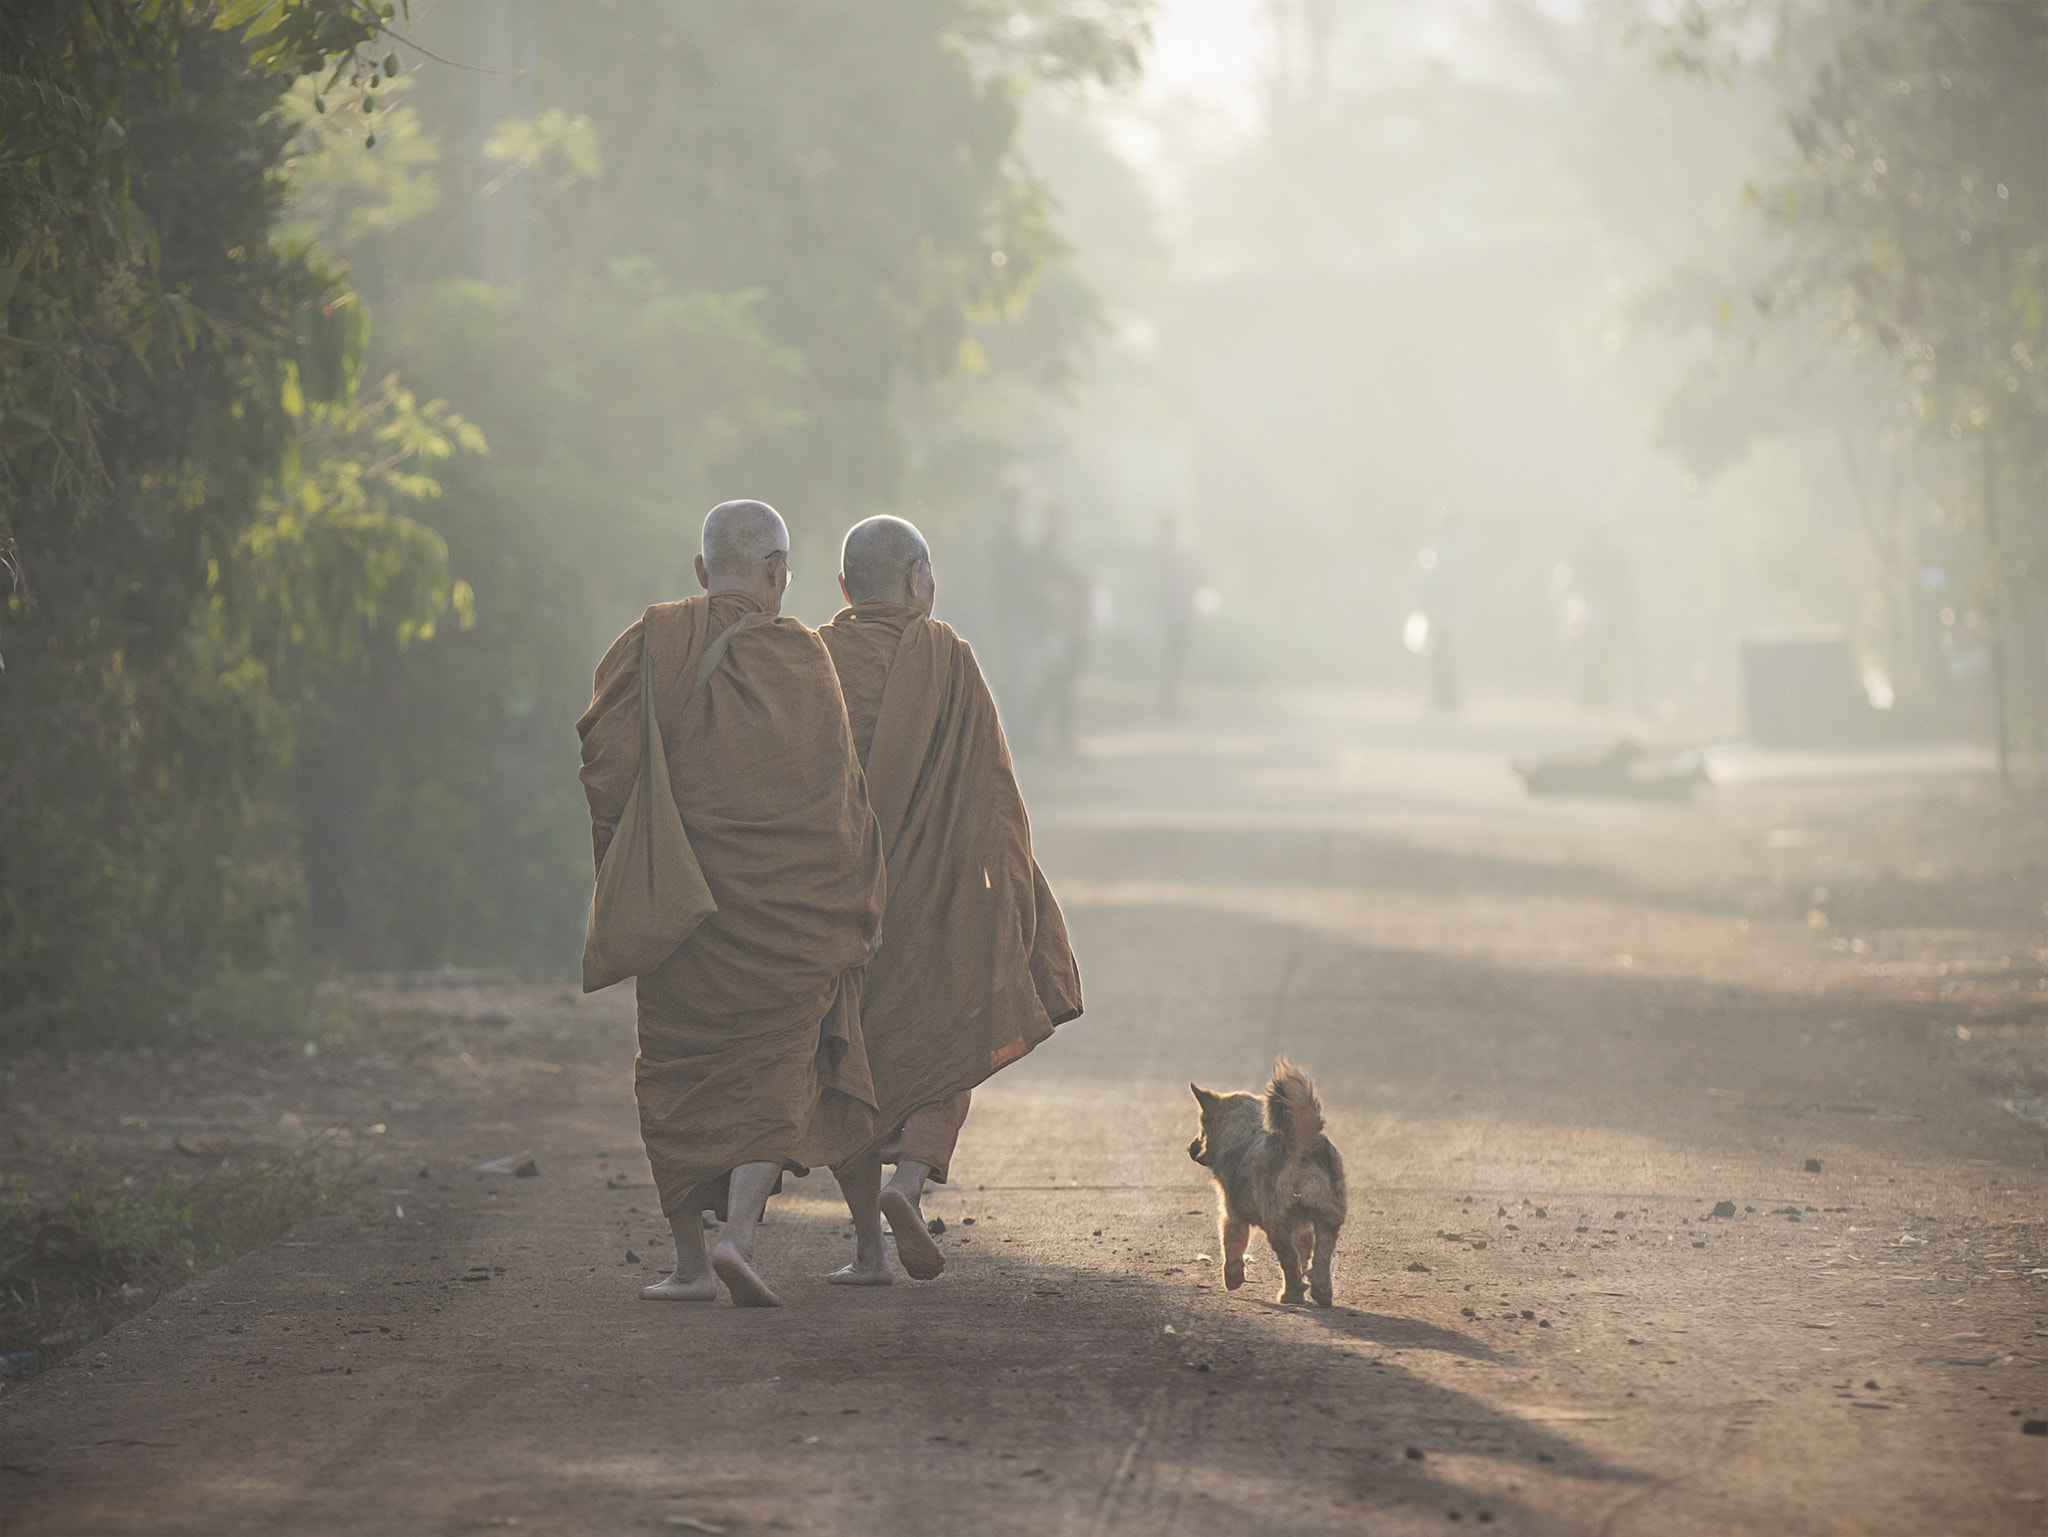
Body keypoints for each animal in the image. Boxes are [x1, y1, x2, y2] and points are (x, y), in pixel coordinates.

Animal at [1187, 1065, 1343, 1303]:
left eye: (1202, 1127)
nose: (1190, 1148)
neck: (1245, 1131)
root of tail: (1302, 1143)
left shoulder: (1232, 1216)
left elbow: (1232, 1247)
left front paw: (1232, 1279)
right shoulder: (1302, 1226)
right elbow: (1305, 1252)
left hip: (1277, 1223)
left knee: (1289, 1260)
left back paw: (1290, 1295)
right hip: (1328, 1219)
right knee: (1321, 1258)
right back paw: (1321, 1293)